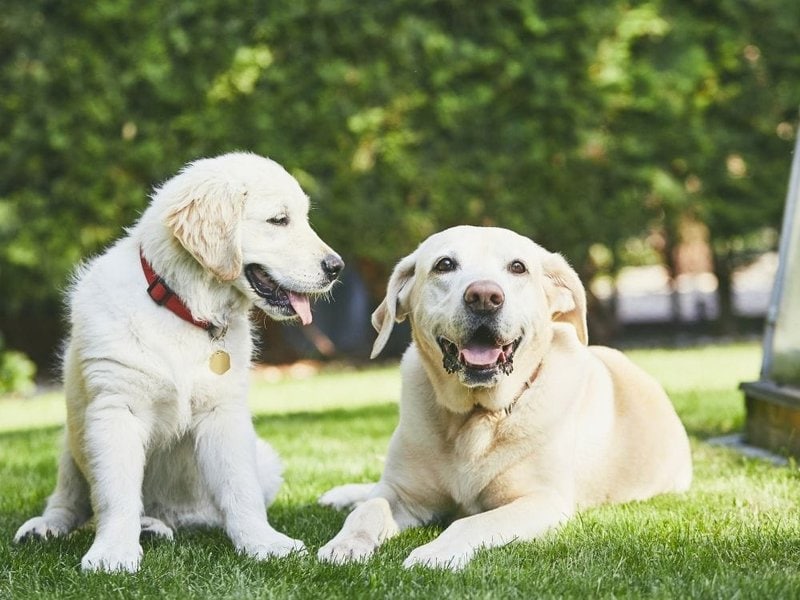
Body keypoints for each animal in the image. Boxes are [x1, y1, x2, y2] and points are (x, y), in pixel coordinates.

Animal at [13, 150, 344, 572]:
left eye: (303, 218)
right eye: (278, 220)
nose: (337, 267)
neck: (184, 308)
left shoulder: (224, 413)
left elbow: (240, 488)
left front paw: (264, 543)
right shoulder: (115, 410)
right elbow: (116, 494)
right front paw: (113, 553)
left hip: (263, 459)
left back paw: (156, 525)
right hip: (73, 437)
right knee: (68, 501)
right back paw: (49, 526)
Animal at [318, 226, 692, 572]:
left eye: (518, 267)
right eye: (444, 264)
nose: (484, 296)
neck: (475, 417)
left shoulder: (542, 501)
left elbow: (470, 521)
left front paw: (433, 553)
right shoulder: (400, 493)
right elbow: (371, 509)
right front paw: (345, 544)